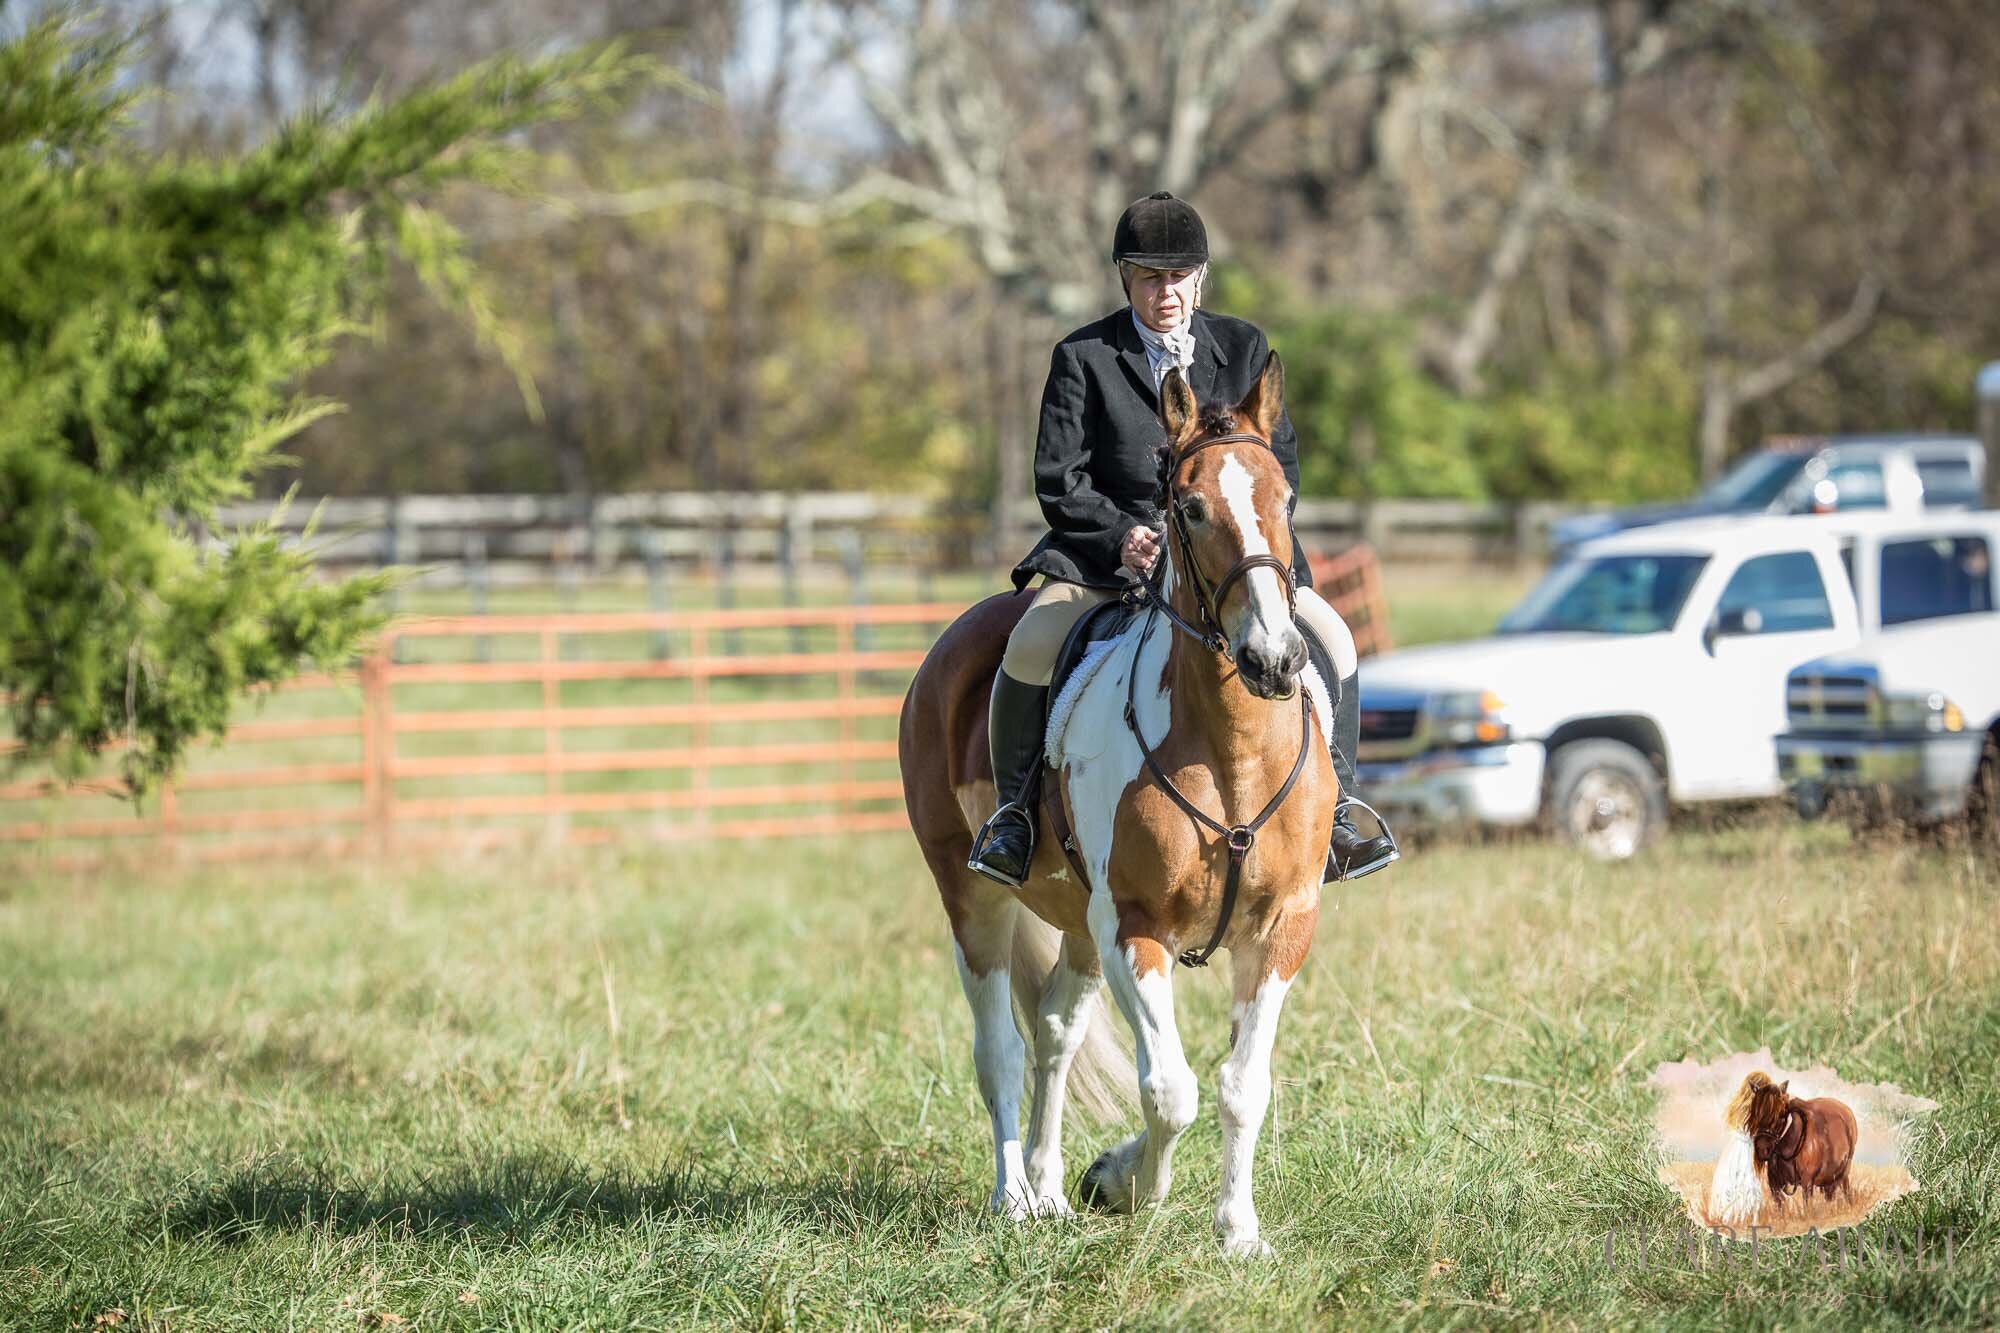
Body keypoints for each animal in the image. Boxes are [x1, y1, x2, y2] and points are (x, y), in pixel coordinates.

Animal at [900, 356, 1336, 1256]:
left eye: (1284, 500)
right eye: (1190, 507)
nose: (1275, 660)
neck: (1232, 749)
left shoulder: (1283, 928)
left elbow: (1242, 1085)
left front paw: (1238, 1232)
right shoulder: (1134, 926)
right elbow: (1171, 1087)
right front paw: (1130, 1182)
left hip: (1076, 922)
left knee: (1054, 1034)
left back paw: (1047, 1187)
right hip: (976, 900)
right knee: (999, 1047)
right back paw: (1013, 1198)